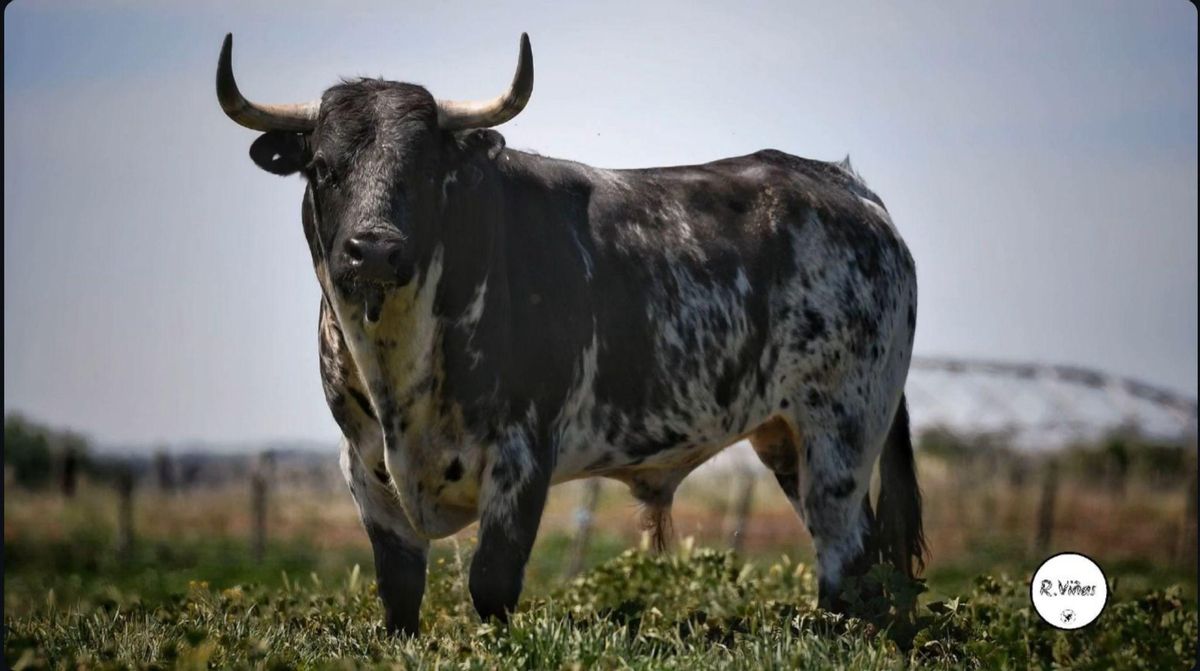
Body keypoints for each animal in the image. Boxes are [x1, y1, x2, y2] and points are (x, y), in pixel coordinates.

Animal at [218, 34, 926, 638]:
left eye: (422, 169)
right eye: (322, 166)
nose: (373, 250)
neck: (400, 365)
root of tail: (846, 187)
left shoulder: (524, 452)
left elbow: (492, 582)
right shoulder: (363, 465)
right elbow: (399, 593)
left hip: (841, 426)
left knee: (844, 553)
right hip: (786, 437)